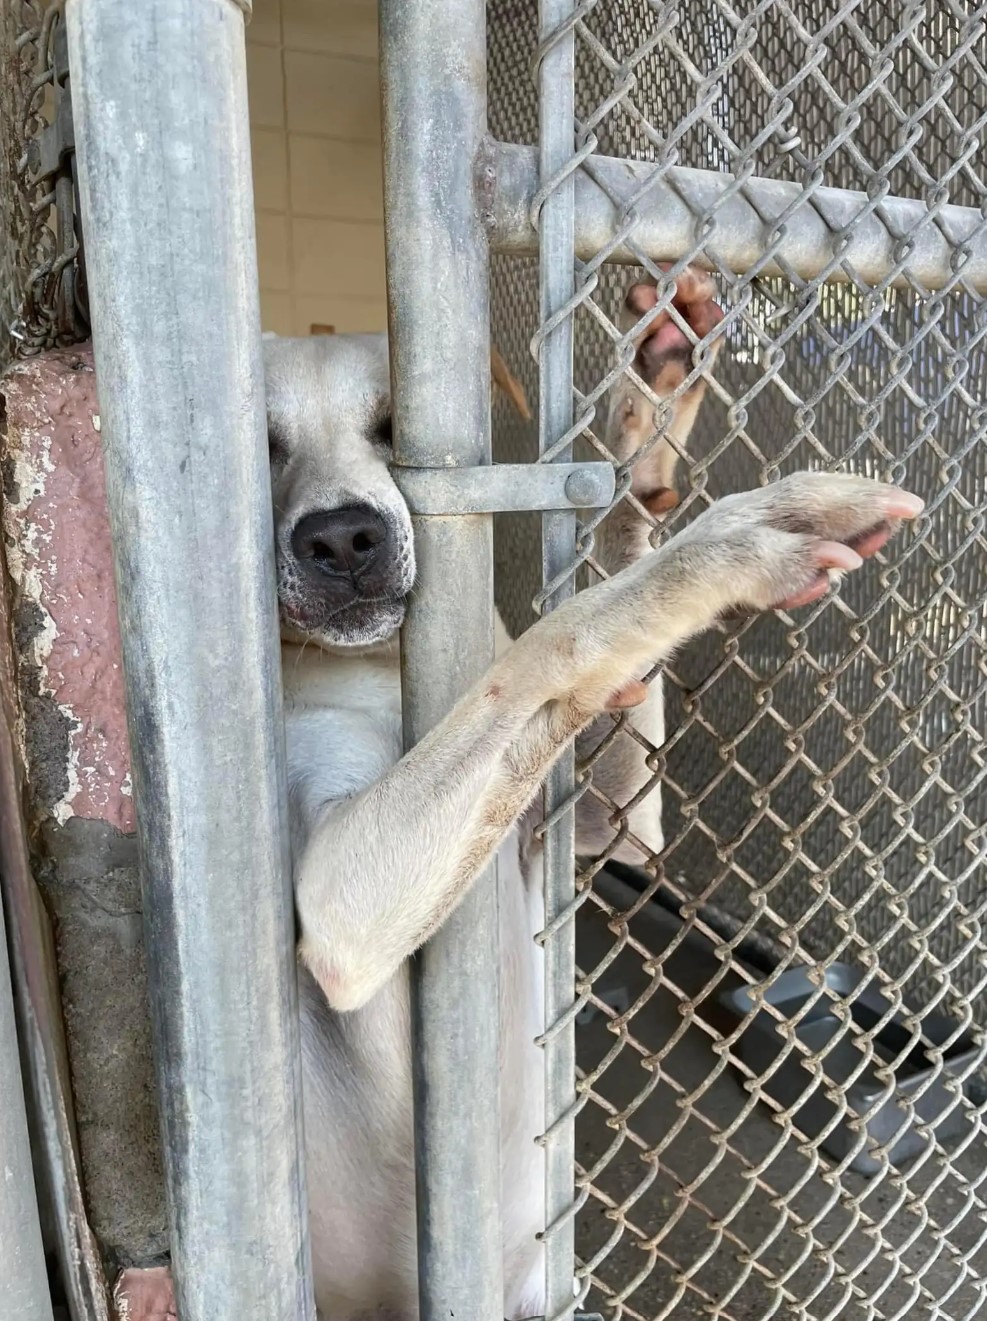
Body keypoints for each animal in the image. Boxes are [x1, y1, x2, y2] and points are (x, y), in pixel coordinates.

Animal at [258, 262, 924, 1315]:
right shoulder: (339, 910)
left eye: (395, 427)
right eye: (262, 443)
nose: (343, 540)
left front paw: (645, 411)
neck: (374, 668)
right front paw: (734, 543)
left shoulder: (605, 827)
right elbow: (557, 635)